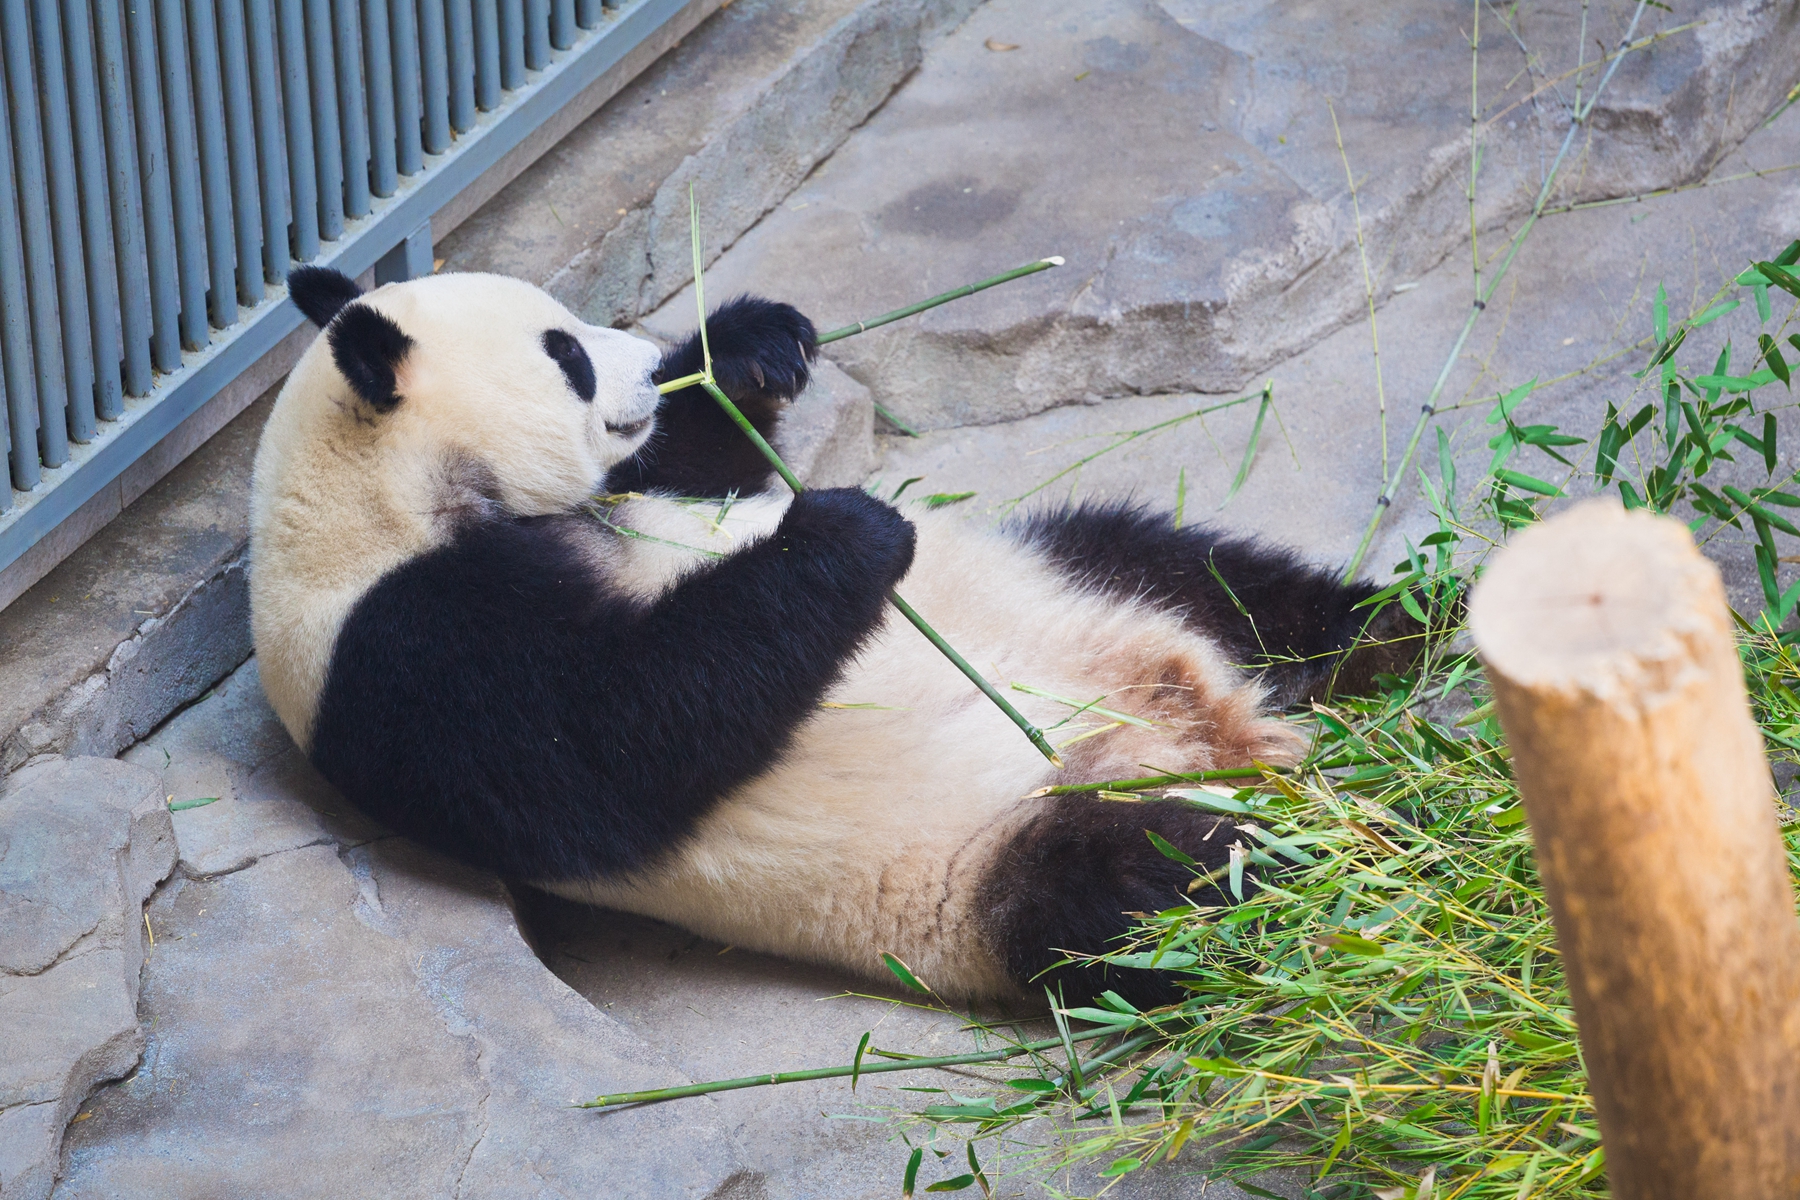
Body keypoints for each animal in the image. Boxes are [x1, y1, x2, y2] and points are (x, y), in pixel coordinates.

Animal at [246, 268, 1418, 1007]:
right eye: (567, 353)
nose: (640, 368)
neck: (360, 496)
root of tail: (1216, 741)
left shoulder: (631, 490)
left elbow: (702, 462)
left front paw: (751, 347)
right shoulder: (400, 647)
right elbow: (608, 738)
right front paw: (850, 530)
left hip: (1067, 578)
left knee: (1194, 569)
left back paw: (1405, 626)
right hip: (991, 856)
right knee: (1168, 888)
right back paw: (1372, 854)